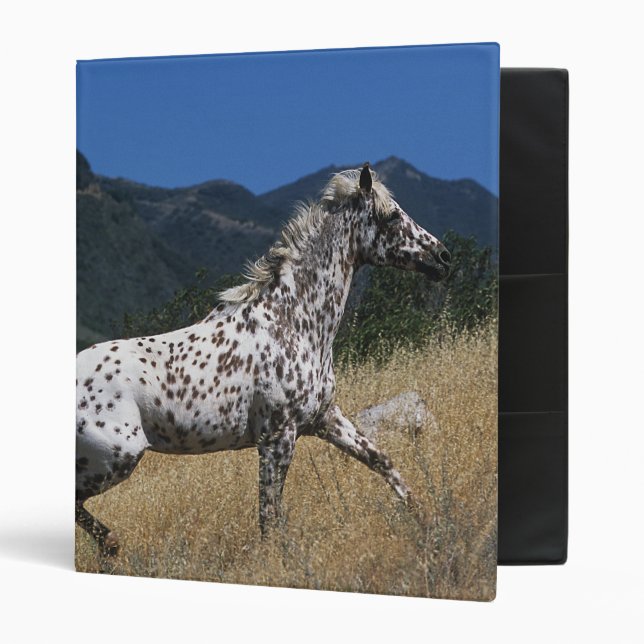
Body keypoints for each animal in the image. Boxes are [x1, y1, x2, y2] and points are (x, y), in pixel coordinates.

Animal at [75, 164, 451, 555]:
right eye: (392, 216)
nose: (443, 258)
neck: (293, 321)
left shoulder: (325, 418)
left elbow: (382, 460)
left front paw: (425, 517)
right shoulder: (277, 438)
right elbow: (269, 516)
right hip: (115, 459)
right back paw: (112, 543)